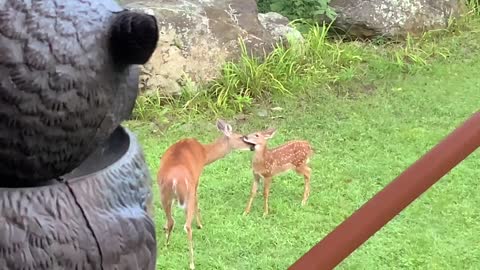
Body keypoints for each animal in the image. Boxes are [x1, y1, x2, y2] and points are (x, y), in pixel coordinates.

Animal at [158, 119, 253, 268]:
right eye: (242, 137)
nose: (252, 147)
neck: (204, 153)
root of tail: (174, 180)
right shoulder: (196, 178)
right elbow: (198, 200)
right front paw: (200, 224)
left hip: (163, 193)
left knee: (171, 220)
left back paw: (166, 245)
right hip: (188, 191)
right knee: (186, 226)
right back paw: (192, 263)